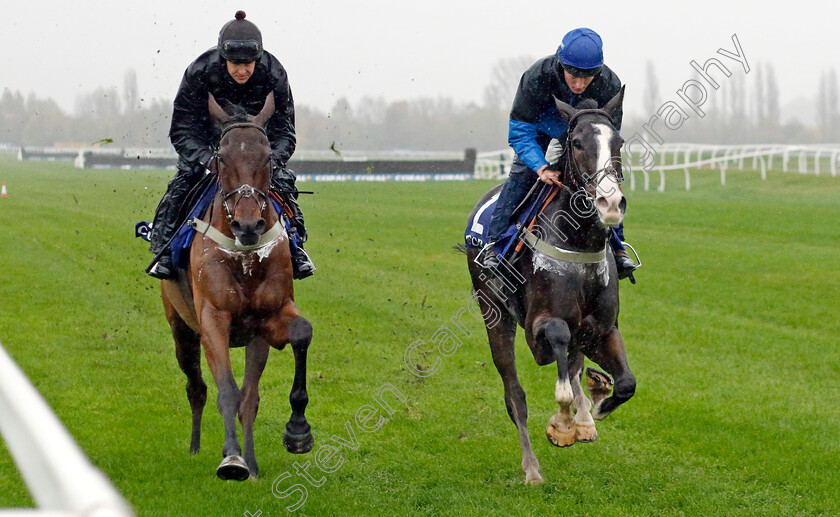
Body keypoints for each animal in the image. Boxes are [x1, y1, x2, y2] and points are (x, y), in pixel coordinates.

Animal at [160, 91, 312, 480]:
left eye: (268, 157)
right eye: (222, 158)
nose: (248, 225)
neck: (244, 257)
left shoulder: (268, 317)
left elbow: (301, 334)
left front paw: (298, 432)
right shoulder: (213, 317)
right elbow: (226, 391)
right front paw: (231, 459)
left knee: (249, 396)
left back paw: (253, 462)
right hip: (181, 328)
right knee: (197, 387)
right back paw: (196, 446)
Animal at [466, 86, 636, 486]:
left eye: (618, 142)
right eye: (576, 142)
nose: (609, 202)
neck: (579, 242)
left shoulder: (603, 328)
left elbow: (625, 383)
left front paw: (596, 409)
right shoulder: (537, 327)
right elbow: (557, 344)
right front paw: (562, 424)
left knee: (574, 364)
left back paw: (587, 411)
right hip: (494, 314)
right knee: (515, 394)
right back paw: (532, 467)